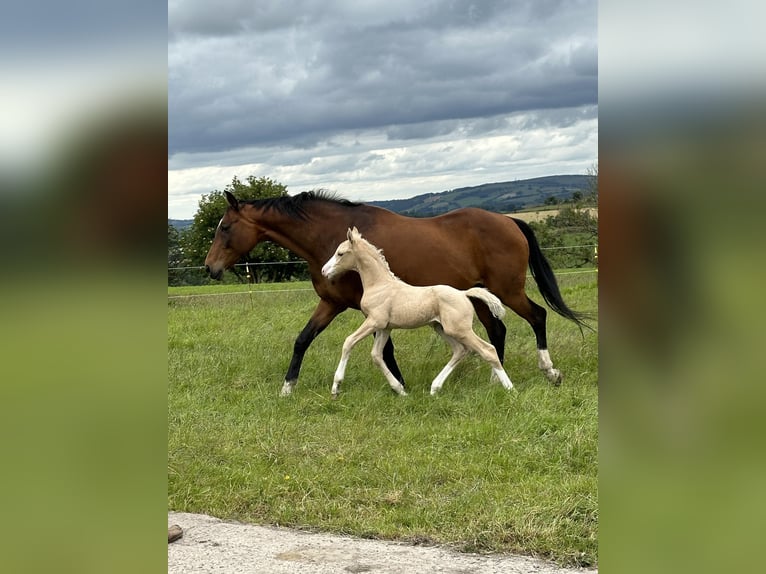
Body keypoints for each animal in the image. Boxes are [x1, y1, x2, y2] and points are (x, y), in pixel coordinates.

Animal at [320, 227, 512, 398]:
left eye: (340, 253)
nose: (324, 271)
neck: (380, 285)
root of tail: (463, 293)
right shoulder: (385, 327)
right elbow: (376, 355)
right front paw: (400, 390)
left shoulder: (374, 321)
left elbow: (349, 342)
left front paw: (336, 387)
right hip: (441, 328)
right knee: (460, 350)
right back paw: (434, 388)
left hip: (460, 330)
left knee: (488, 350)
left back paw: (510, 389)